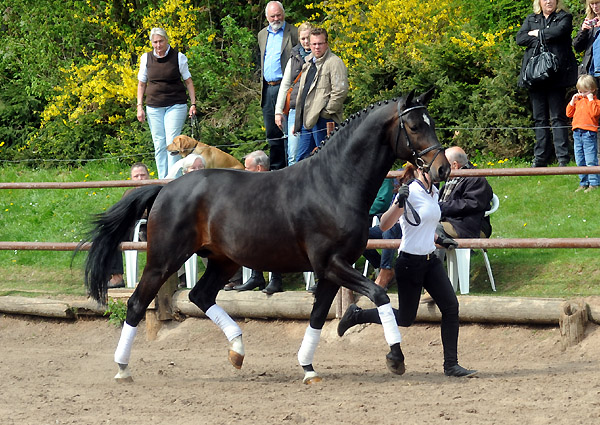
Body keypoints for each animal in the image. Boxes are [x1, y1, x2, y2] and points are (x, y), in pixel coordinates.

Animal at [82, 91, 448, 382]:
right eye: (414, 126)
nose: (442, 168)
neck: (333, 184)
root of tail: (165, 189)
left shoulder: (332, 269)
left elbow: (318, 316)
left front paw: (308, 369)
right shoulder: (331, 264)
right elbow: (380, 295)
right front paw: (395, 358)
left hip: (223, 262)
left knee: (200, 295)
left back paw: (238, 350)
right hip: (164, 259)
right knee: (137, 303)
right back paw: (123, 368)